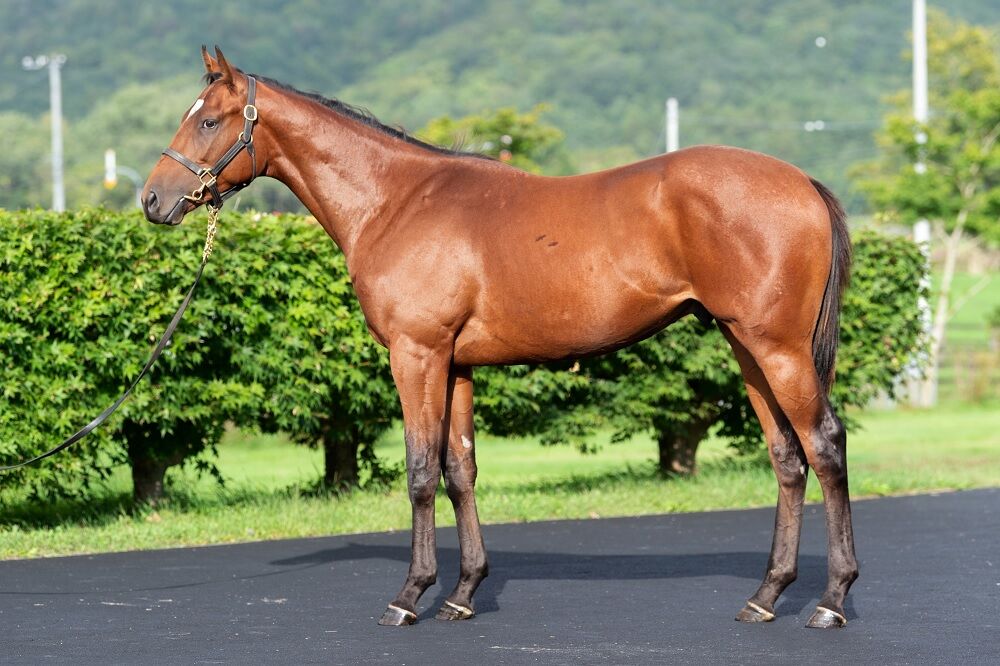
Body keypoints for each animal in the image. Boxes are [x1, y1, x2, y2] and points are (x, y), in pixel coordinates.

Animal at [143, 47, 857, 629]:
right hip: (746, 347)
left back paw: (831, 600)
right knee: (786, 457)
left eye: (208, 122)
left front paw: (411, 595)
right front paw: (462, 594)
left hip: (778, 349)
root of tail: (803, 183)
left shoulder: (416, 355)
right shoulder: (456, 365)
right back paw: (766, 596)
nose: (153, 200)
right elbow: (460, 470)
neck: (397, 201)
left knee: (824, 445)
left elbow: (421, 471)